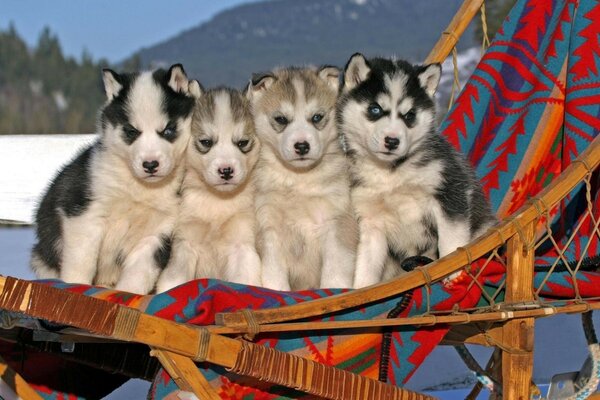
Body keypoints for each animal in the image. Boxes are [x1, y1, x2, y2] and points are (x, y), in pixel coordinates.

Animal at [31, 63, 196, 294]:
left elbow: (138, 276)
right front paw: (76, 286)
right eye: (131, 131)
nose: (150, 165)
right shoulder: (84, 215)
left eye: (168, 130)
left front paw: (129, 294)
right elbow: (81, 262)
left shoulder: (157, 234)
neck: (138, 189)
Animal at [155, 85, 262, 290]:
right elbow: (175, 281)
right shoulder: (185, 242)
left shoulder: (242, 244)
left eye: (242, 143)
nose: (226, 171)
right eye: (206, 142)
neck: (217, 201)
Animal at [247, 66, 358, 290]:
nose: (302, 146)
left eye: (316, 117)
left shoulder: (337, 223)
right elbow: (274, 275)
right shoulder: (269, 227)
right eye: (281, 119)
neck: (299, 180)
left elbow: (334, 273)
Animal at [338, 54, 496, 290]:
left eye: (410, 115)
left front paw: (453, 271)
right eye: (375, 109)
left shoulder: (448, 191)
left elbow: (450, 240)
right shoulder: (371, 219)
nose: (392, 141)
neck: (391, 173)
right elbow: (367, 264)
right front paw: (362, 290)